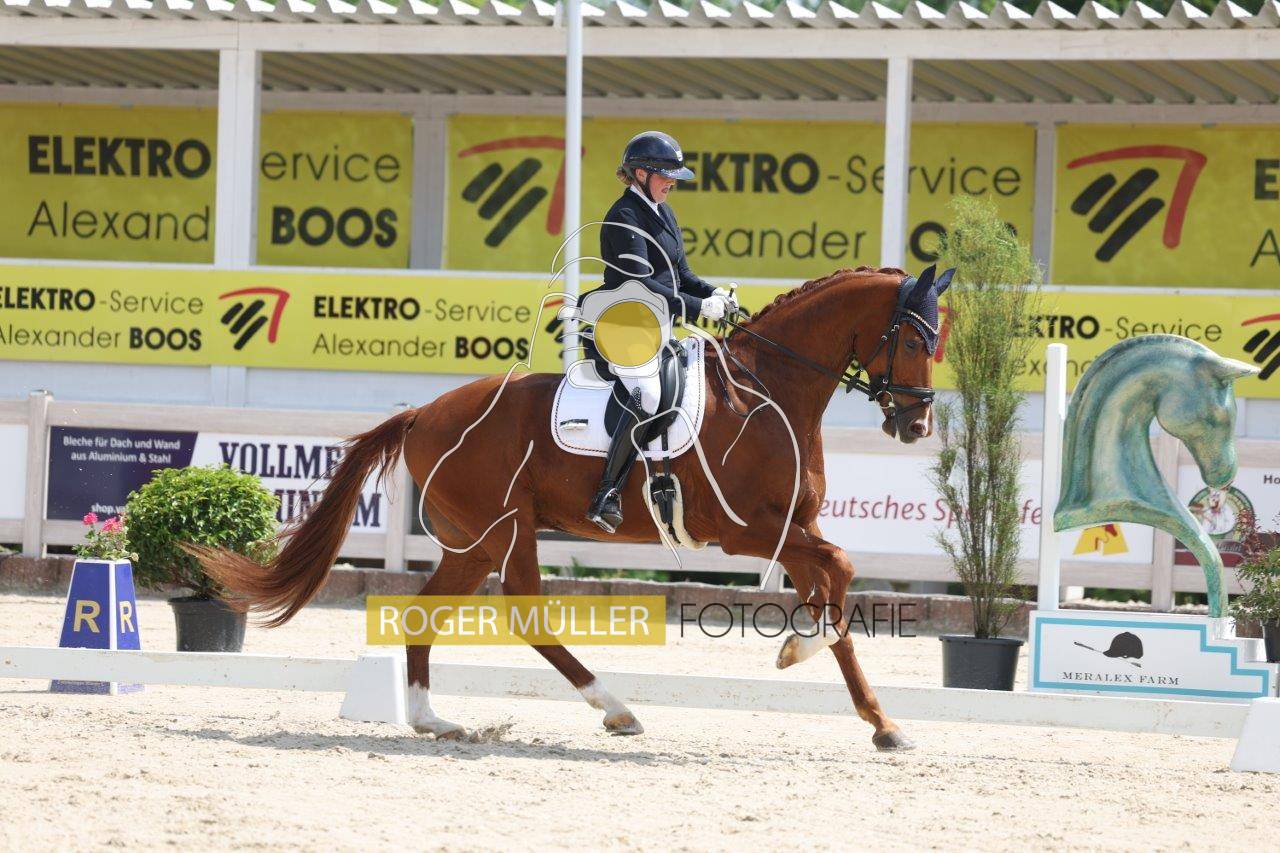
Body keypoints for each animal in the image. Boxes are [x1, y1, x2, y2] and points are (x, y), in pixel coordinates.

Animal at [192, 264, 946, 752]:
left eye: (935, 342)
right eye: (913, 340)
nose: (916, 426)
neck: (769, 393)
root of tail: (422, 414)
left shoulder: (795, 526)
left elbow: (834, 591)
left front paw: (881, 722)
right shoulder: (747, 533)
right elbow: (840, 571)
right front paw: (797, 650)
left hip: (474, 540)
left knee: (424, 612)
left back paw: (434, 721)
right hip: (507, 528)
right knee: (524, 607)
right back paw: (615, 710)